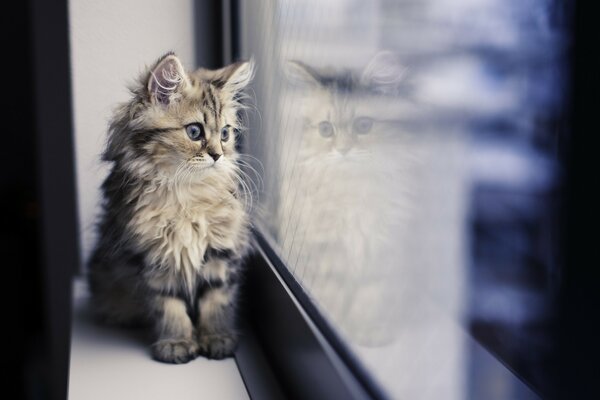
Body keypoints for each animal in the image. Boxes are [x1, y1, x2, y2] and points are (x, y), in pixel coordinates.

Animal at [87, 52, 253, 362]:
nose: (218, 155)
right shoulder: (152, 256)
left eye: (225, 133)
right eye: (194, 131)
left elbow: (216, 302)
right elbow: (169, 307)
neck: (185, 195)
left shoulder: (220, 252)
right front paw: (176, 343)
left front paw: (217, 338)